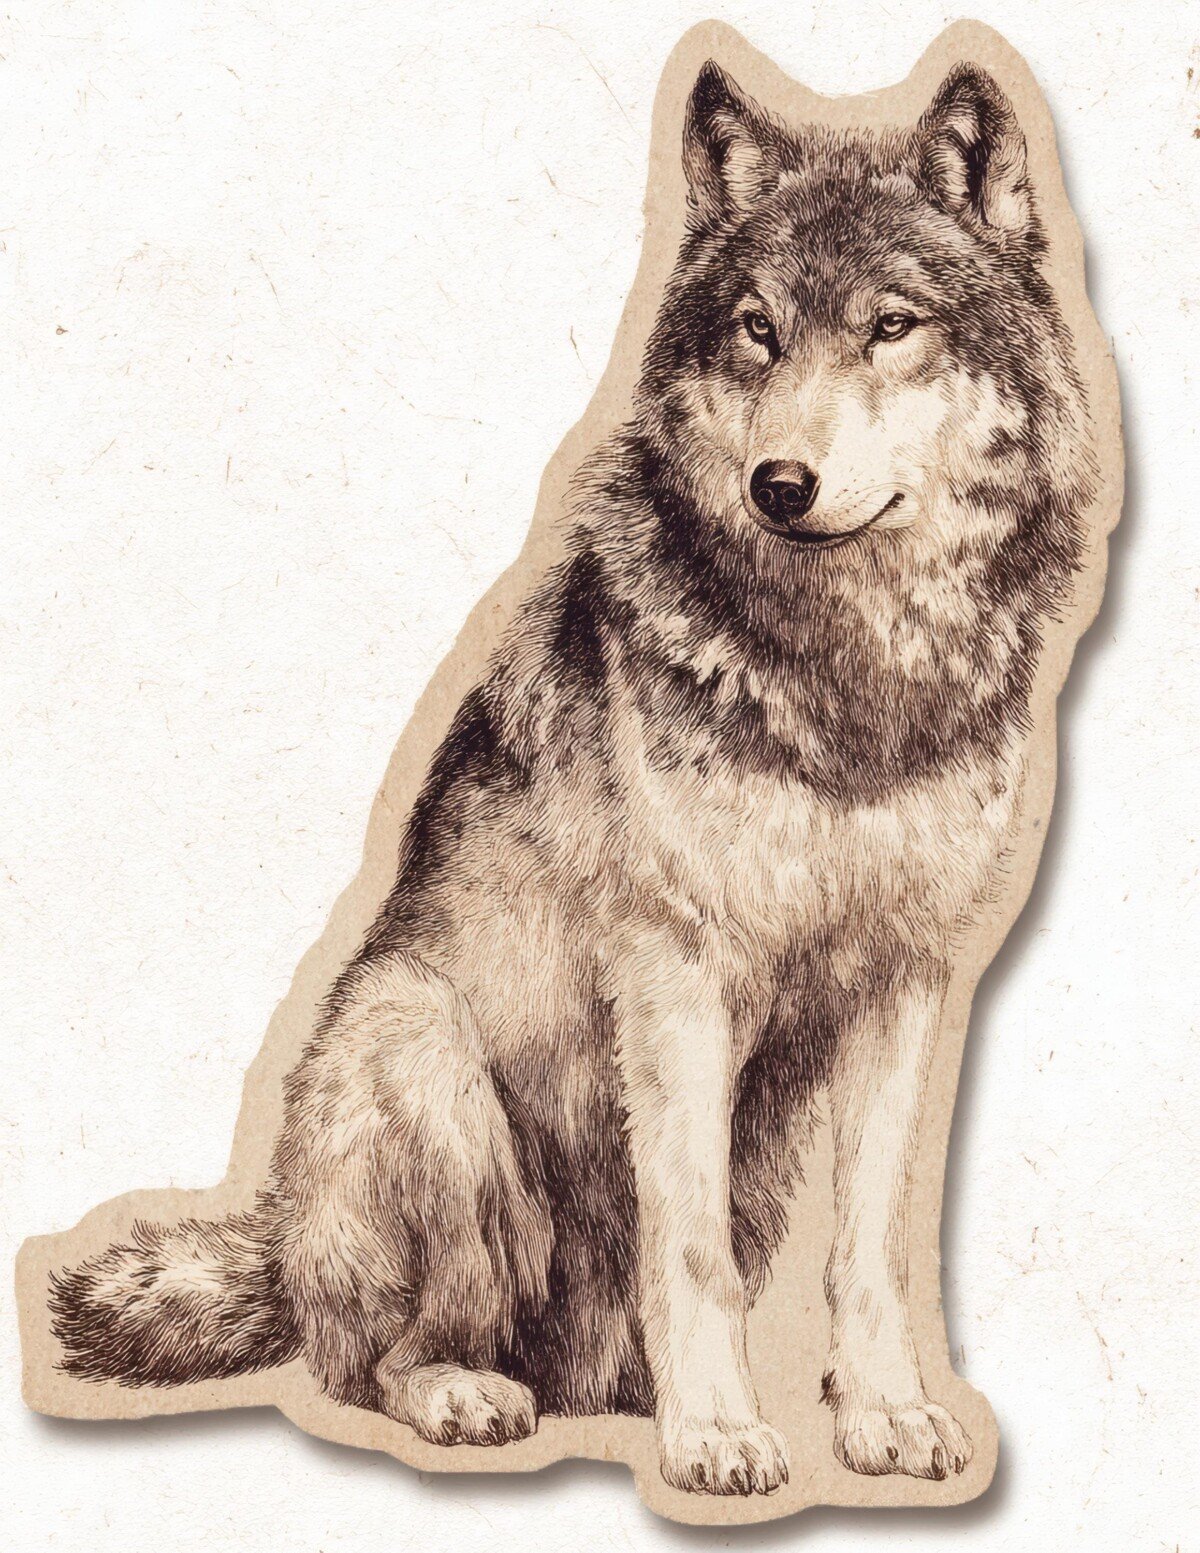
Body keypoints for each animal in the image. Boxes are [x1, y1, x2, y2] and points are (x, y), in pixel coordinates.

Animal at [49, 58, 1094, 1496]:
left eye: (893, 327)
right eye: (758, 331)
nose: (779, 484)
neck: (851, 678)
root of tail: (281, 1245)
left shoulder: (905, 980)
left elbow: (874, 1245)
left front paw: (880, 1414)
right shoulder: (677, 972)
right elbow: (689, 1245)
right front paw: (717, 1436)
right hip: (422, 1055)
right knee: (372, 1356)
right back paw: (473, 1394)